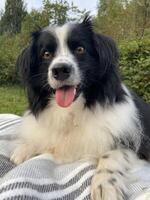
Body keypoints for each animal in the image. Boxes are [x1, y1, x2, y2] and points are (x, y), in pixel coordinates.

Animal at [10, 16, 150, 199]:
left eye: (80, 49)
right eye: (46, 54)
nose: (60, 70)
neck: (72, 111)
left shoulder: (135, 144)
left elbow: (112, 154)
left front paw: (105, 184)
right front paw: (24, 149)